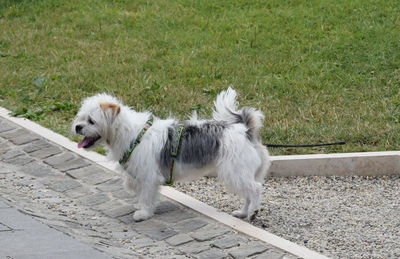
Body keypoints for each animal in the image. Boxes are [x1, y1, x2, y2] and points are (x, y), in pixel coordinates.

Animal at [73, 88, 270, 222]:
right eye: (81, 117)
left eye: (91, 120)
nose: (77, 127)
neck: (133, 135)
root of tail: (245, 129)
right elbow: (136, 188)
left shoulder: (149, 177)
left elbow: (146, 196)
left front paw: (143, 213)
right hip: (242, 173)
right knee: (248, 193)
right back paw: (244, 212)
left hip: (235, 172)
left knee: (255, 189)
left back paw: (253, 211)